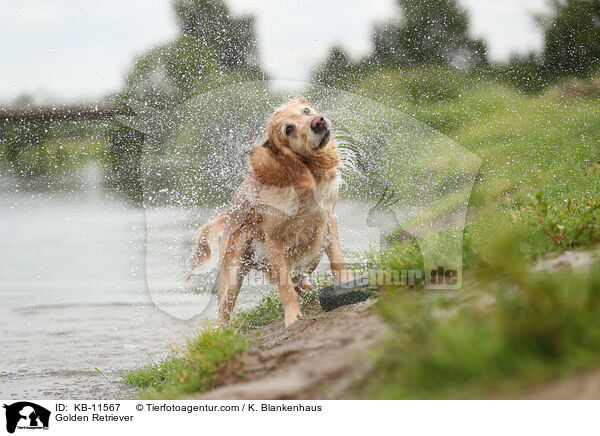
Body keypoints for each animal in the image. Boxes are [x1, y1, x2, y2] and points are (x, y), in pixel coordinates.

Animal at [188, 97, 346, 326]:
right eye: (288, 129)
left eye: (306, 110)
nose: (317, 122)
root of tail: (230, 212)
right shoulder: (274, 240)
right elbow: (285, 285)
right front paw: (292, 317)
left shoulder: (328, 219)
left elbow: (337, 262)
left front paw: (346, 285)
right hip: (233, 272)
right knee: (224, 311)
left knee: (301, 278)